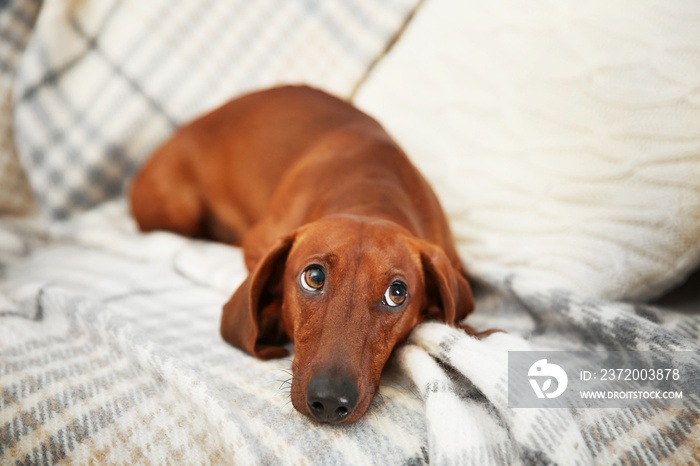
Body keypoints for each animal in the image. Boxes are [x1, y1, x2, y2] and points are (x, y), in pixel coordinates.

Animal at [130, 85, 492, 424]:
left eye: (397, 293)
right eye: (314, 277)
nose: (330, 402)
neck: (370, 190)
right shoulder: (258, 241)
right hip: (180, 208)